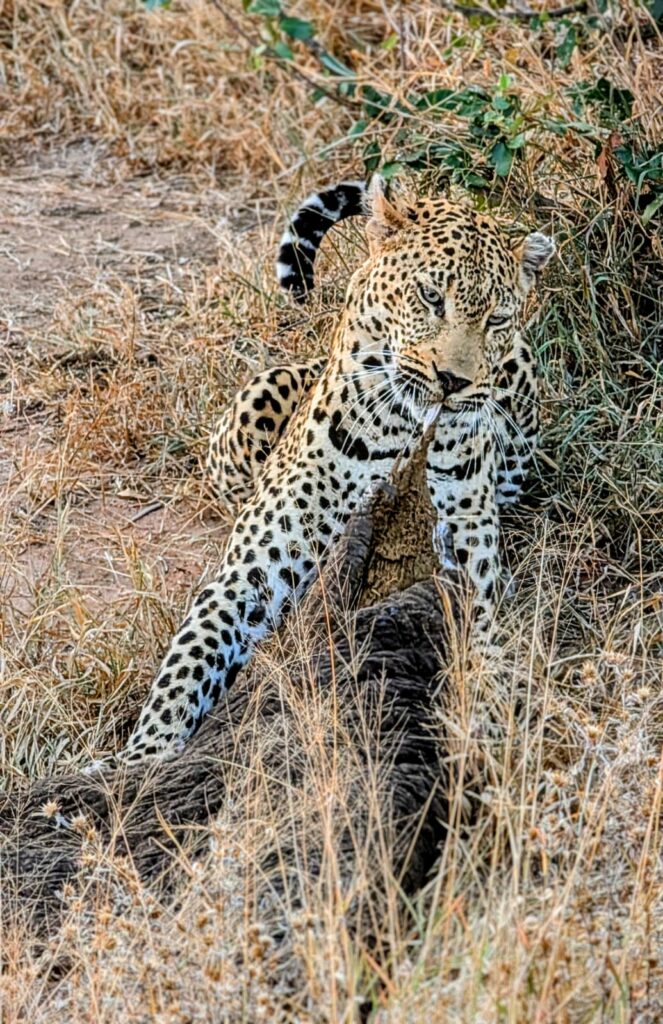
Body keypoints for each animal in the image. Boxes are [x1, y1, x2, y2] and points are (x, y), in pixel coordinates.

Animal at [123, 175, 554, 763]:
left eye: (496, 320)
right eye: (430, 297)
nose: (453, 381)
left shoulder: (470, 566)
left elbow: (481, 642)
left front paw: (488, 719)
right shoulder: (250, 573)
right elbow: (191, 658)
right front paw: (141, 761)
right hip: (249, 414)